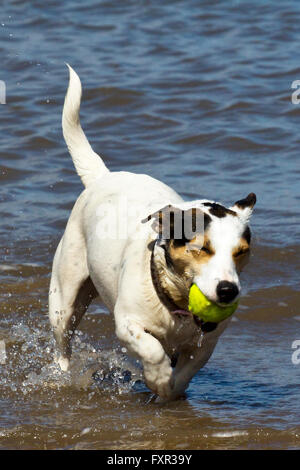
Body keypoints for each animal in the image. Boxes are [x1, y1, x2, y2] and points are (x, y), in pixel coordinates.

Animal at [48, 66, 255, 400]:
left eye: (242, 253)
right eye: (201, 248)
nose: (228, 291)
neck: (177, 305)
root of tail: (104, 177)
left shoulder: (205, 344)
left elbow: (186, 371)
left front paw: (169, 391)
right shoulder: (127, 324)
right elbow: (152, 350)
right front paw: (157, 378)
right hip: (63, 297)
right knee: (63, 341)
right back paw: (62, 374)